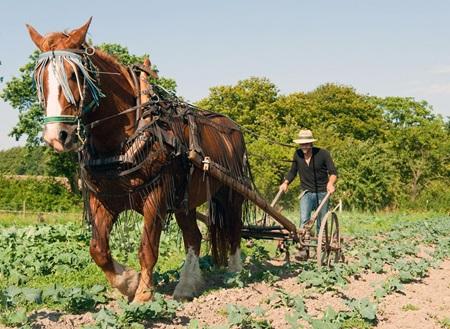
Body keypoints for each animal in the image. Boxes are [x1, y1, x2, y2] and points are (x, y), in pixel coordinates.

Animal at [26, 19, 251, 302]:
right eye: (39, 79)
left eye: (75, 75)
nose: (57, 136)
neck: (121, 141)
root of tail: (232, 127)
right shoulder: (103, 200)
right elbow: (97, 249)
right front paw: (128, 282)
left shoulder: (156, 199)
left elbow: (147, 248)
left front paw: (143, 294)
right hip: (185, 200)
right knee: (194, 237)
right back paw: (185, 286)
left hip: (232, 192)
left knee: (234, 229)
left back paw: (235, 273)